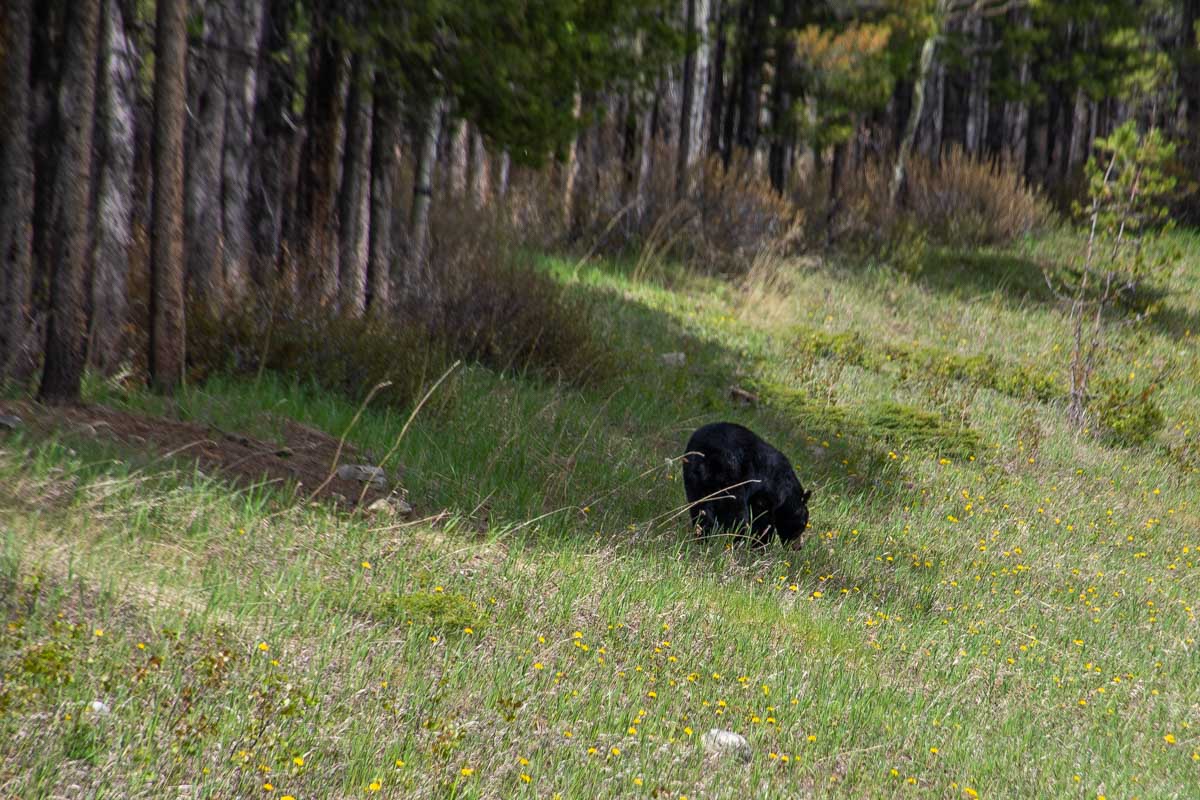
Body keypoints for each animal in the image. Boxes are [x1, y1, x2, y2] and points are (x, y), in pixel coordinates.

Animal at [682, 421, 812, 547]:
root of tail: (707, 457)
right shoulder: (767, 492)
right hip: (732, 478)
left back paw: (703, 537)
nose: (799, 547)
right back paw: (737, 540)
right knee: (736, 513)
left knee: (701, 509)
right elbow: (762, 518)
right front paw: (761, 543)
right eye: (803, 524)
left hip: (694, 481)